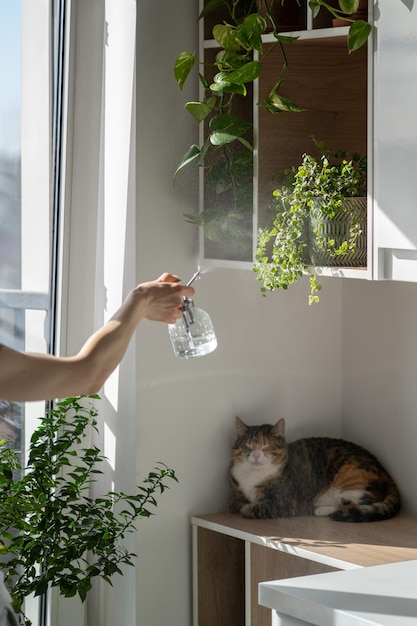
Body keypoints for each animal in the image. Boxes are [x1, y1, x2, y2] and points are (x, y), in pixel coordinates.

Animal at [228, 414, 400, 520]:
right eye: (248, 446)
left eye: (267, 447)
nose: (257, 455)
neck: (252, 475)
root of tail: (385, 471)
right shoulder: (235, 491)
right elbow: (235, 503)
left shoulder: (284, 503)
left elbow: (247, 509)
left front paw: (247, 507)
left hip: (350, 475)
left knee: (358, 503)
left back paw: (321, 509)